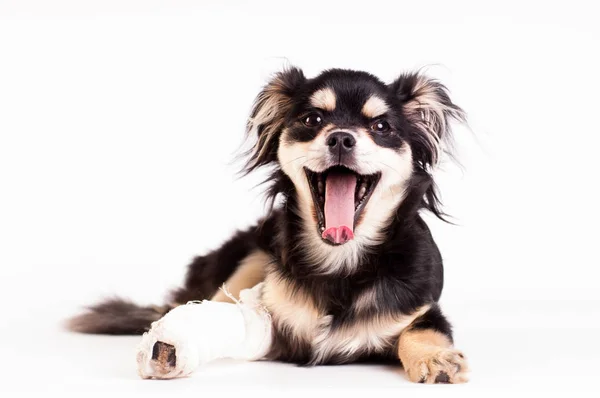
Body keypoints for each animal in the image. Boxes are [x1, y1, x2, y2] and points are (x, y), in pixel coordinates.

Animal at [70, 67, 472, 384]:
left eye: (381, 126)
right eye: (312, 120)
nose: (341, 137)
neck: (341, 263)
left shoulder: (421, 309)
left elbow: (422, 329)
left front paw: (435, 359)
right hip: (252, 256)